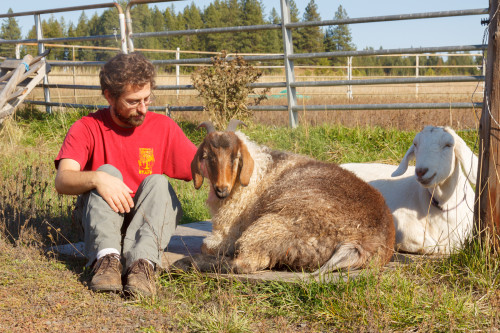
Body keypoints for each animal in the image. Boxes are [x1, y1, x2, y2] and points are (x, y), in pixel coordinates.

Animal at [174, 120, 396, 274]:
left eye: (235, 157)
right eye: (207, 156)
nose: (221, 189)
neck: (258, 173)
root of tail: (360, 243)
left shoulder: (227, 235)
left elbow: (207, 246)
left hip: (272, 227)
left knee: (244, 263)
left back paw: (185, 263)